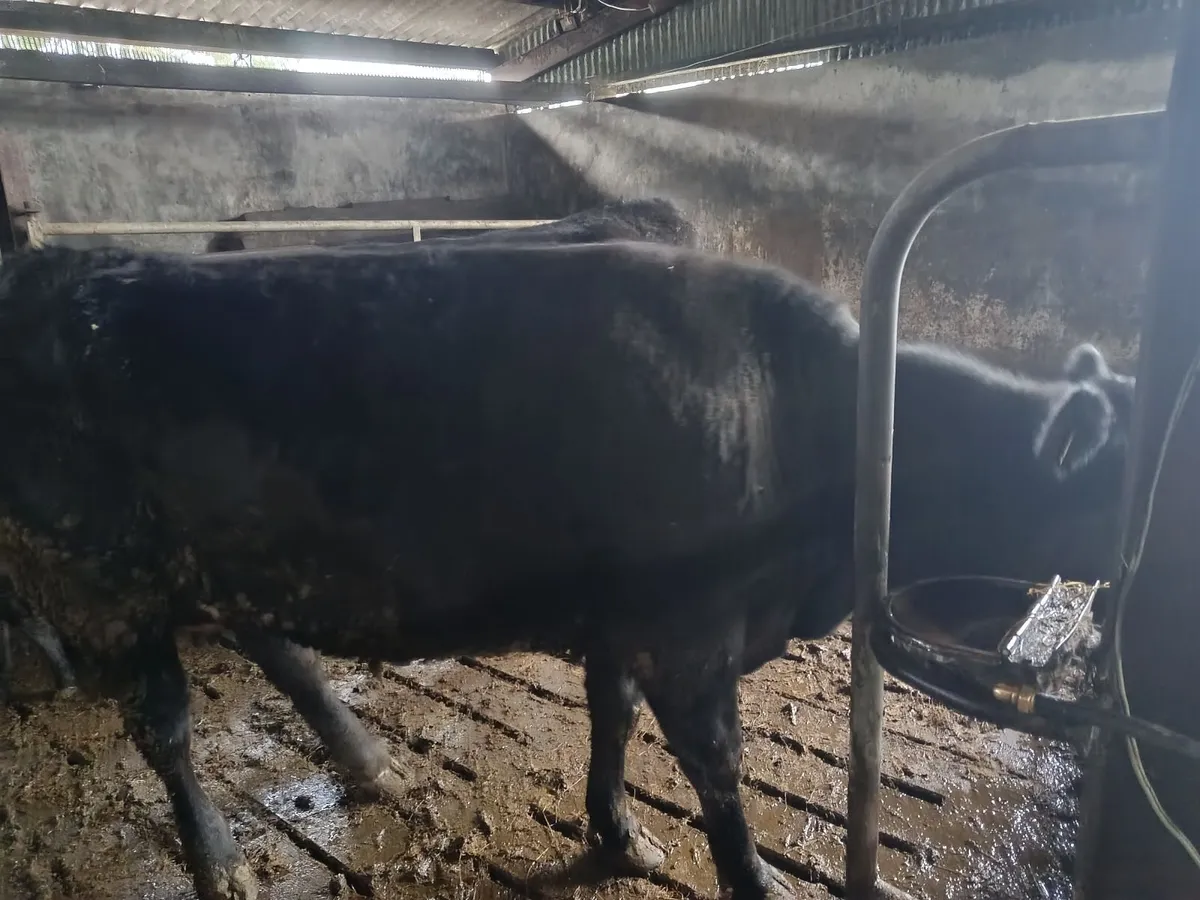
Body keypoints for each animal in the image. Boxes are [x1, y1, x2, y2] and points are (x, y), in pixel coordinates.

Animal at [0, 240, 1131, 900]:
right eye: (1113, 500)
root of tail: (53, 270)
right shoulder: (688, 638)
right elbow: (719, 774)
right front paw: (748, 879)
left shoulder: (624, 620)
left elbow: (611, 720)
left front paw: (621, 836)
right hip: (101, 582)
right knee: (166, 727)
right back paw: (220, 862)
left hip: (221, 557)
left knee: (274, 644)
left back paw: (366, 760)